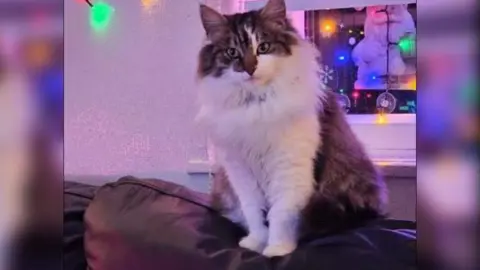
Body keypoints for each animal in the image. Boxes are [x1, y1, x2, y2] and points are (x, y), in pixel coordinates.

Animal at [195, 0, 386, 258]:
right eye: (232, 52)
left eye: (263, 47)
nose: (250, 68)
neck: (256, 106)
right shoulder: (240, 171)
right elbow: (254, 212)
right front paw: (255, 244)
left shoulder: (289, 169)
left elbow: (281, 214)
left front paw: (277, 250)